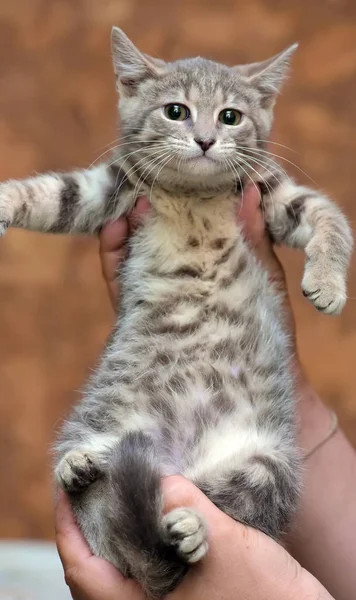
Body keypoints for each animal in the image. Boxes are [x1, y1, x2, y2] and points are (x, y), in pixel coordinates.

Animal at [0, 27, 352, 600]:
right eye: (175, 111)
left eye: (230, 116)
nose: (206, 139)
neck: (193, 196)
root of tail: (176, 455)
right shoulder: (112, 188)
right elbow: (52, 193)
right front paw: (4, 201)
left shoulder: (273, 192)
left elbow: (330, 221)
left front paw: (327, 282)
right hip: (100, 420)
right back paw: (81, 466)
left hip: (267, 467)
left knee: (220, 498)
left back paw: (188, 526)